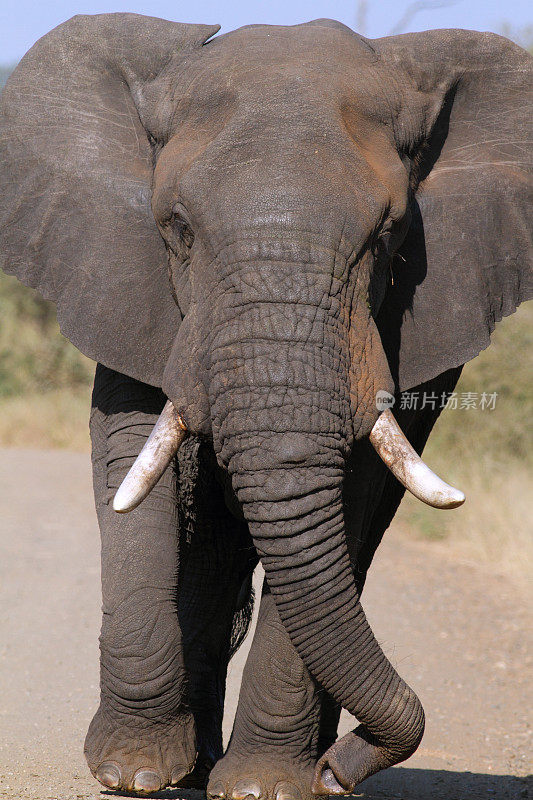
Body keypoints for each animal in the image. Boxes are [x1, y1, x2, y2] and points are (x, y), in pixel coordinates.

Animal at [1, 14, 532, 800]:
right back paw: (195, 767)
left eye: (386, 239)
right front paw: (131, 771)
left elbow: (348, 492)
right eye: (179, 229)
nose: (344, 768)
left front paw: (265, 786)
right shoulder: (122, 278)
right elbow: (131, 464)